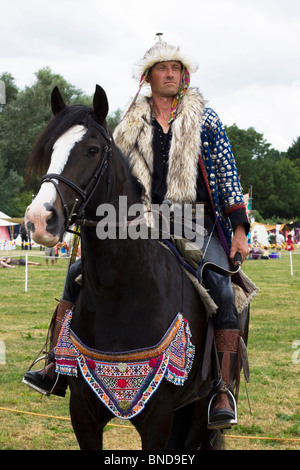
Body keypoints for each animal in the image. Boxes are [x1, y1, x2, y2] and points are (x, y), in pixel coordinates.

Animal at [24, 85, 221, 452]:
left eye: (92, 150)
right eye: (50, 149)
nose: (39, 219)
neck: (120, 291)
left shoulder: (158, 419)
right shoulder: (83, 414)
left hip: (200, 411)